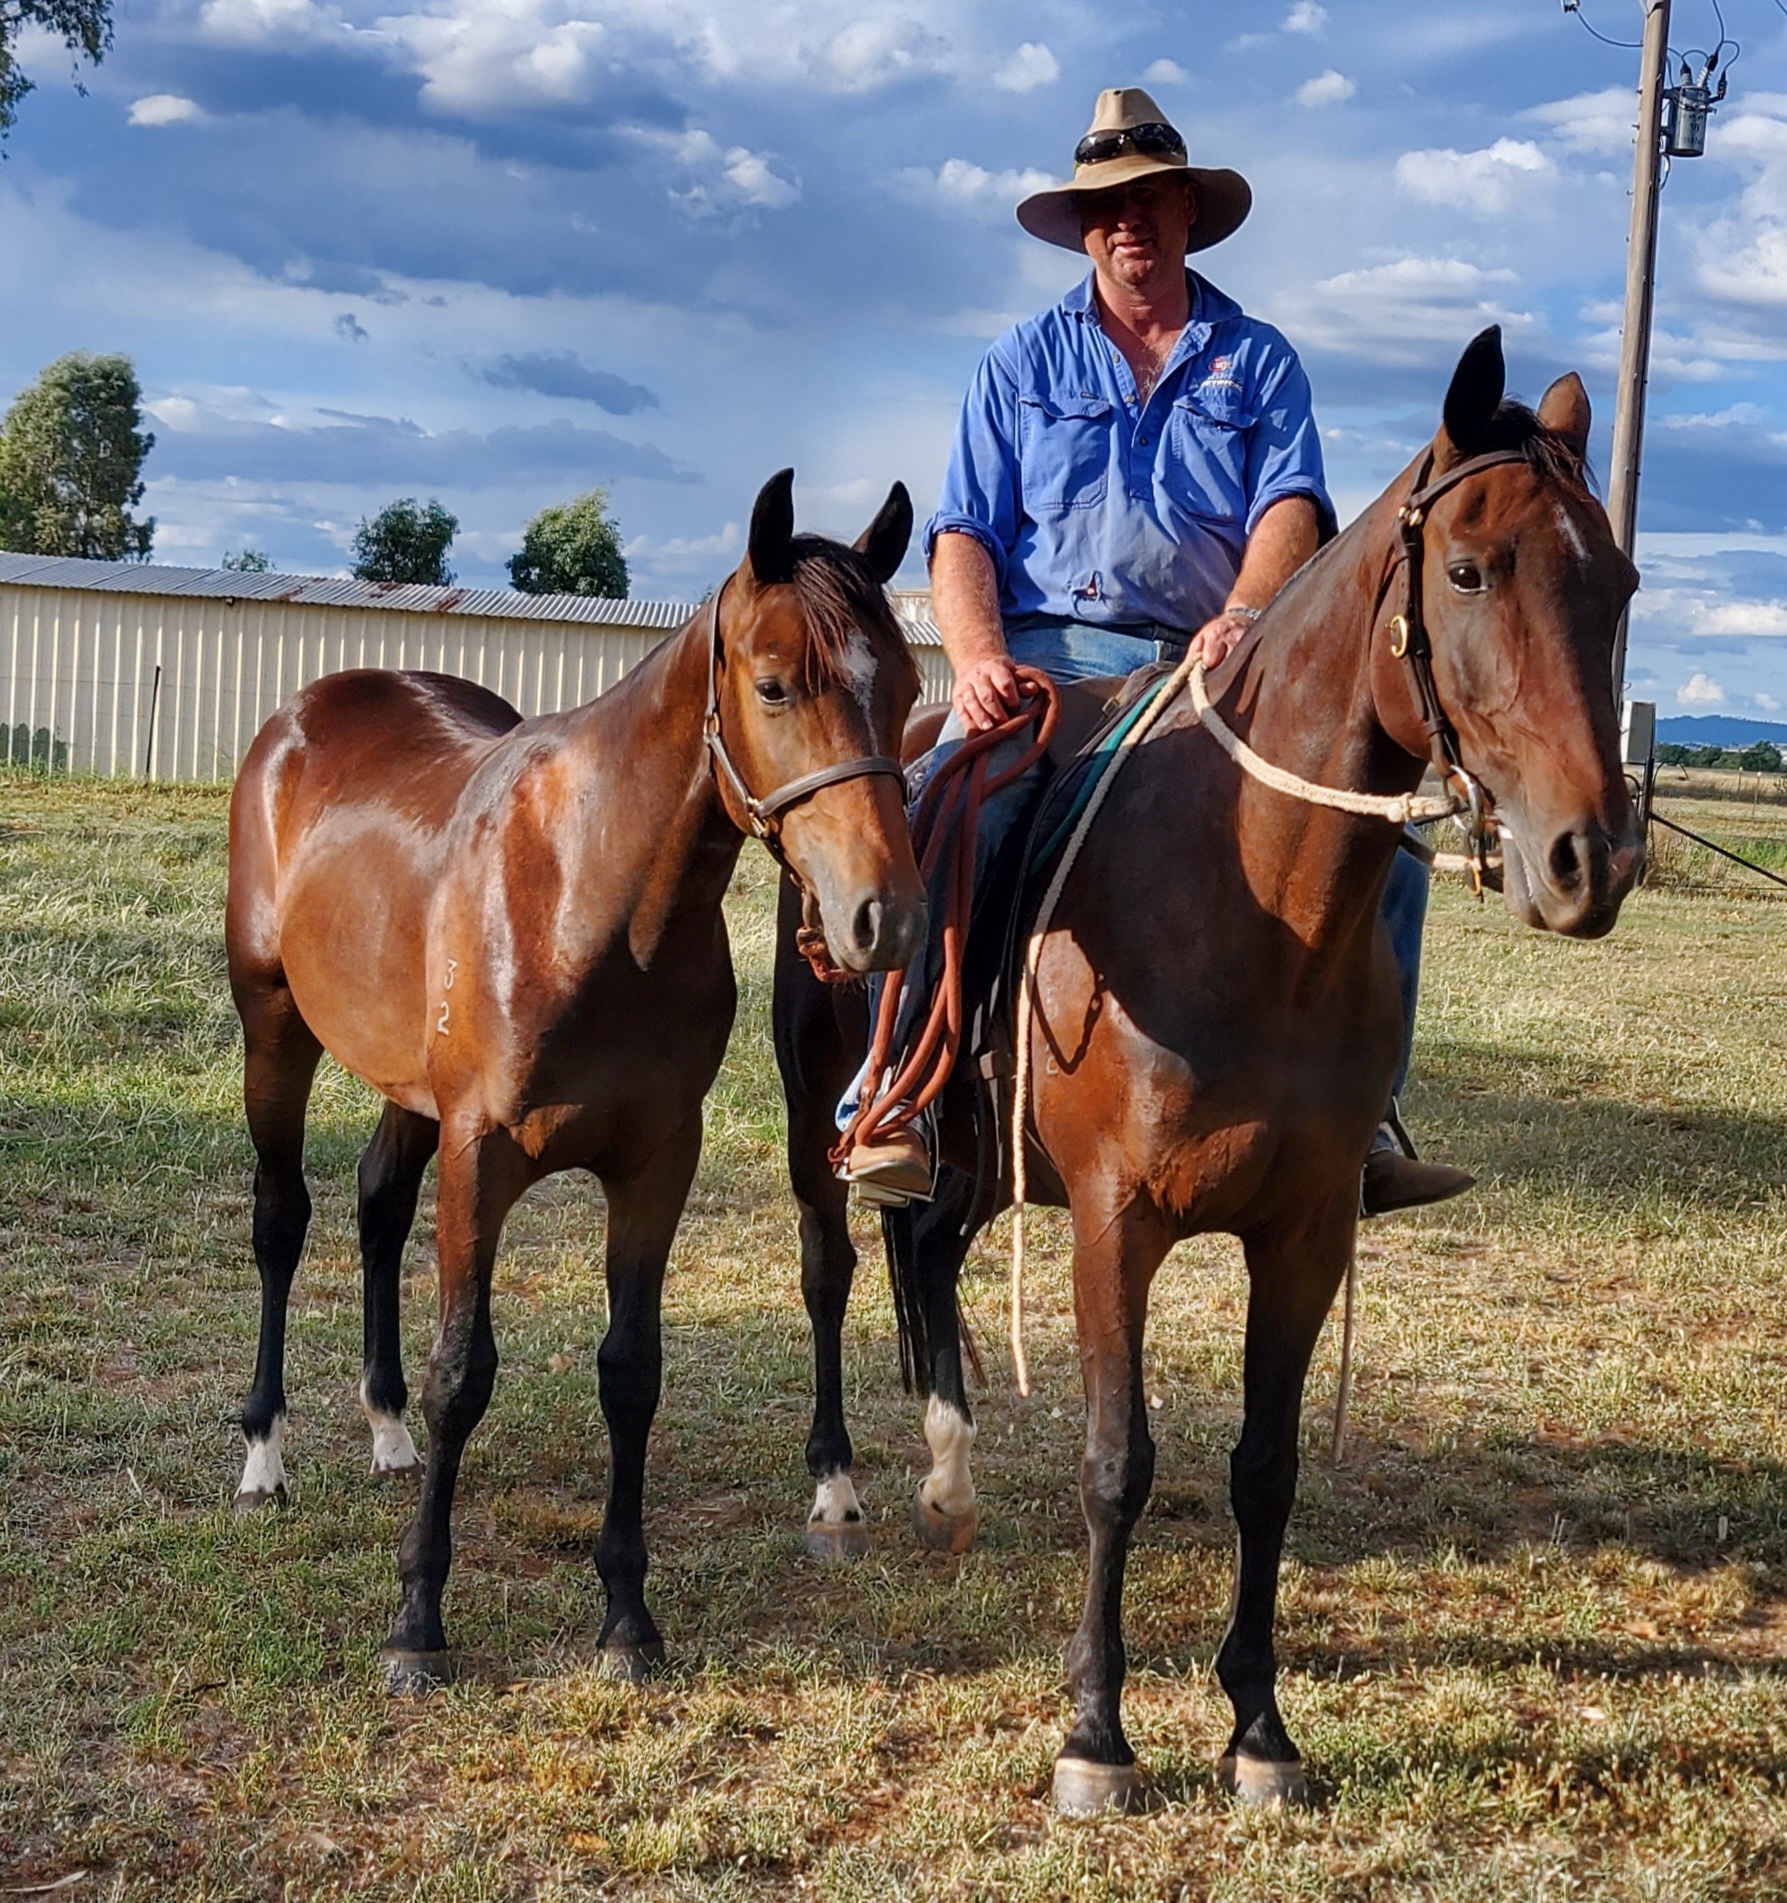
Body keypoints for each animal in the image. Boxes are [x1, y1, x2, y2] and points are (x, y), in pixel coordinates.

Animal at [224, 470, 927, 1689]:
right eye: (775, 684)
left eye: (912, 687)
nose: (880, 920)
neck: (584, 894)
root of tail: (304, 714)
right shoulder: (482, 1154)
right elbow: (464, 1371)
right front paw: (416, 1622)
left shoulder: (655, 1163)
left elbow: (629, 1372)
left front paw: (627, 1618)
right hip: (275, 1031)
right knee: (283, 1216)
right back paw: (266, 1451)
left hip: (406, 1091)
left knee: (374, 1204)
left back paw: (385, 1428)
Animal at [772, 329, 1643, 1807]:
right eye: (1470, 569)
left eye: (1622, 585)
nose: (1587, 857)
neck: (1251, 910)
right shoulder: (1112, 1222)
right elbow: (1115, 1461)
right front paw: (1093, 1733)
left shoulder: (1302, 1232)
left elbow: (1264, 1467)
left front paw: (1258, 1727)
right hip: (817, 1124)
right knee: (837, 1266)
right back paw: (838, 1489)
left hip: (984, 1164)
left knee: (926, 1255)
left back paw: (948, 1474)